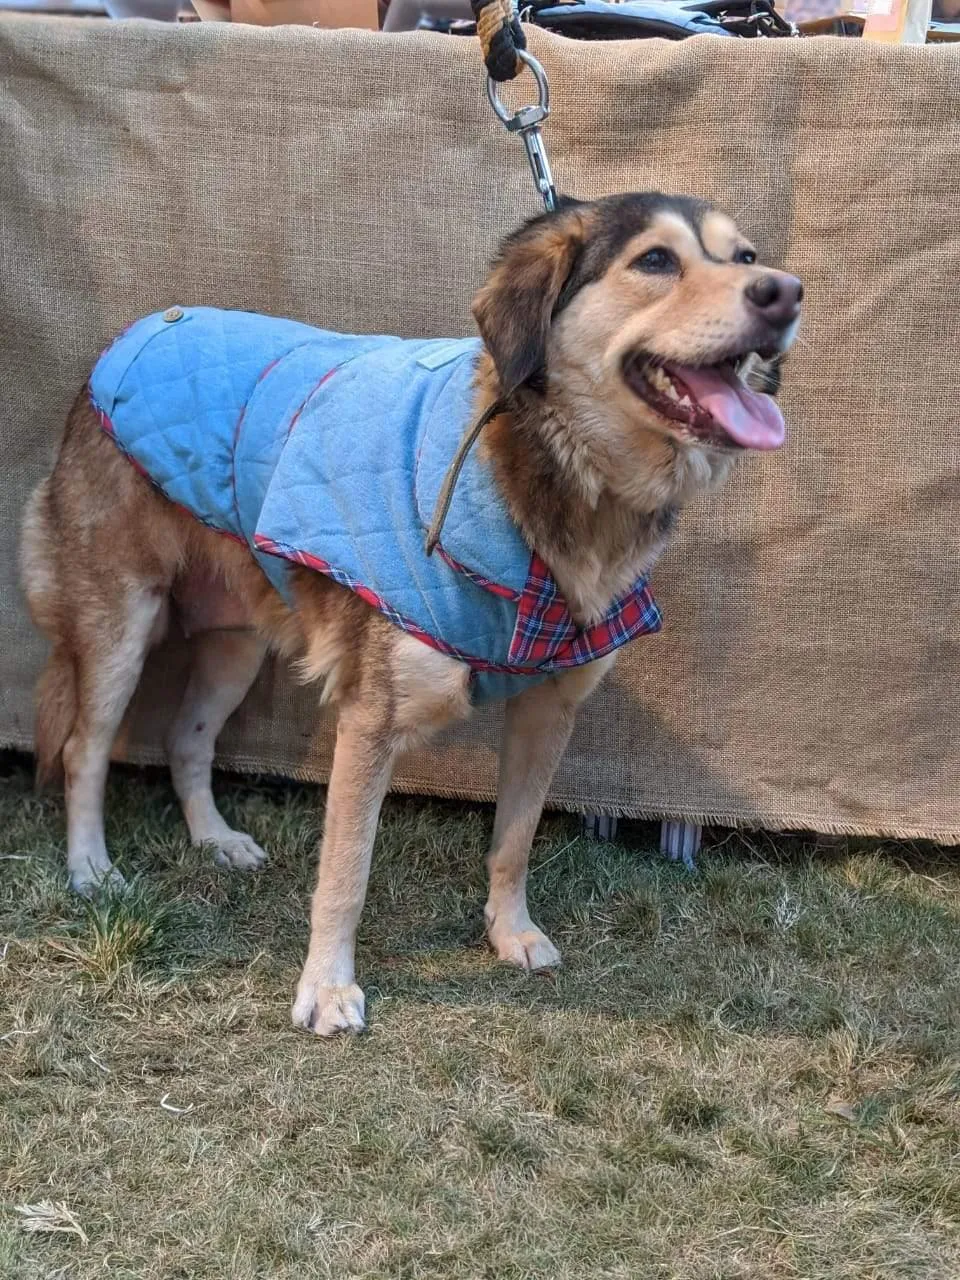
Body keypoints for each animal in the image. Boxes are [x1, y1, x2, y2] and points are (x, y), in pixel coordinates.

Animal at [20, 189, 803, 1034]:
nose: (786, 293)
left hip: (234, 644)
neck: (558, 470)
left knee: (186, 739)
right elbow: (346, 872)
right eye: (655, 260)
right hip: (117, 627)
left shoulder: (548, 709)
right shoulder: (371, 719)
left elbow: (515, 839)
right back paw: (92, 867)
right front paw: (327, 987)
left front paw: (511, 933)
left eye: (746, 257)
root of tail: (125, 339)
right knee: (86, 749)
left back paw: (215, 840)